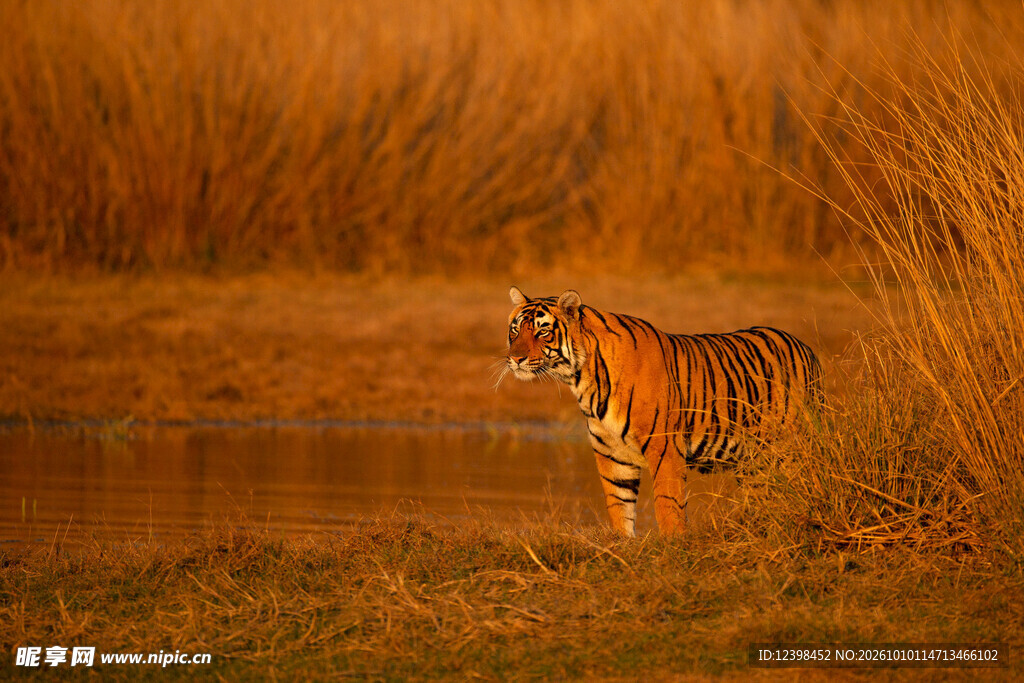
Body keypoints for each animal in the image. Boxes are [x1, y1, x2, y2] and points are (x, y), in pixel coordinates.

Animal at [504, 286, 822, 536]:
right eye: (515, 330)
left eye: (543, 332)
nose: (515, 359)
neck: (583, 377)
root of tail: (806, 348)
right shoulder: (611, 452)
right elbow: (618, 503)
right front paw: (623, 544)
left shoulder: (665, 446)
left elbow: (667, 502)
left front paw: (674, 544)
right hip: (755, 463)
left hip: (791, 449)